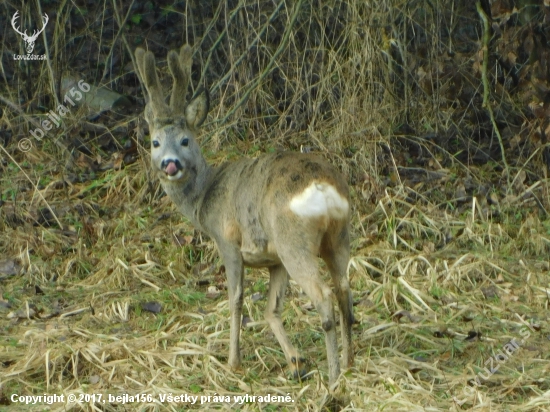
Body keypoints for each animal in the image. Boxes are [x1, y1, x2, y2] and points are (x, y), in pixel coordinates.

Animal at [136, 44, 356, 386]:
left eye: (185, 140)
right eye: (155, 142)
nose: (170, 164)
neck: (205, 196)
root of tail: (323, 188)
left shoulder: (227, 241)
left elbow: (236, 299)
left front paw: (233, 362)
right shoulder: (274, 260)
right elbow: (271, 309)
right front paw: (295, 362)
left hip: (294, 241)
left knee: (323, 296)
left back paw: (332, 378)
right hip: (338, 236)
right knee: (345, 290)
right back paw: (347, 365)